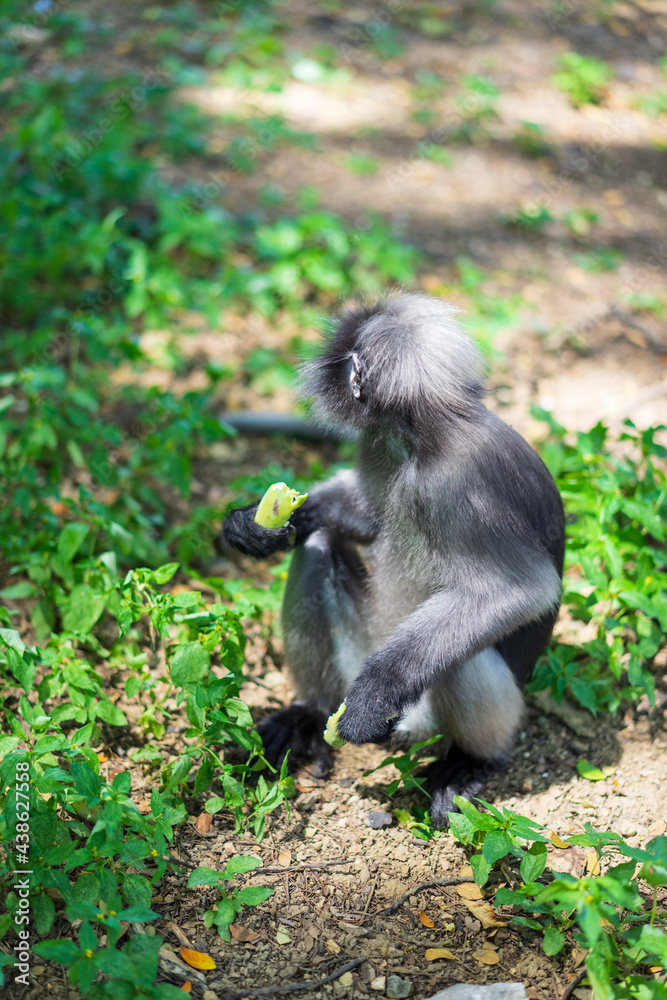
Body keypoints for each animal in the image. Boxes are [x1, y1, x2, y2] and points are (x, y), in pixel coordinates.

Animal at [222, 292, 565, 827]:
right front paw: (255, 528)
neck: (424, 440)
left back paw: (470, 761)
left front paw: (374, 695)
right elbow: (364, 516)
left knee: (462, 646)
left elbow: (523, 590)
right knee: (320, 547)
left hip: (423, 704)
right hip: (359, 643)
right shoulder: (381, 443)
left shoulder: (464, 486)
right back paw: (310, 712)